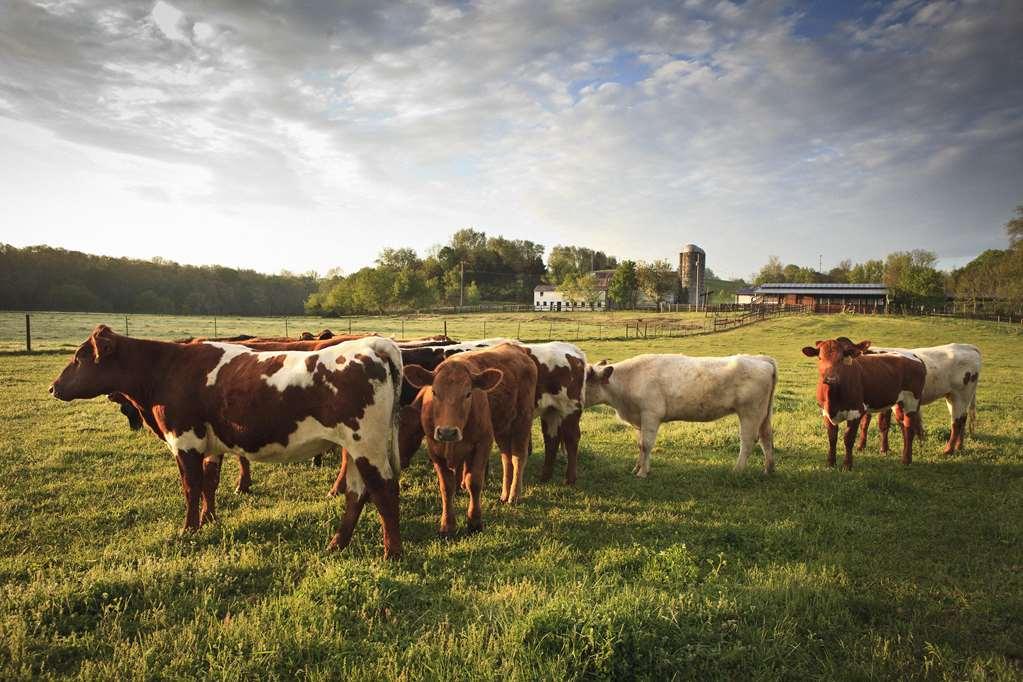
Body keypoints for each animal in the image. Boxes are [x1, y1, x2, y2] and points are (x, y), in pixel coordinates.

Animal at [51, 325, 403, 560]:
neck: (166, 369)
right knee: (356, 494)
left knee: (384, 490)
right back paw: (336, 545)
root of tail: (371, 344)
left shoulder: (185, 440)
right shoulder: (210, 443)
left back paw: (392, 553)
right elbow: (210, 482)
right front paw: (210, 519)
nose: (53, 387)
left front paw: (189, 529)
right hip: (354, 447)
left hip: (366, 445)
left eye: (79, 357)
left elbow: (191, 487)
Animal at [403, 343, 540, 535]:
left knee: (518, 458)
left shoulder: (483, 443)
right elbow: (446, 486)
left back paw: (514, 495)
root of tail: (517, 348)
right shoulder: (434, 450)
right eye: (435, 392)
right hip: (502, 427)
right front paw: (447, 525)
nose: (447, 432)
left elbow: (473, 482)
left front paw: (474, 522)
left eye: (468, 394)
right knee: (506, 458)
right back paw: (504, 494)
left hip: (522, 421)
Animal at [585, 355, 773, 478]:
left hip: (750, 412)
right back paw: (768, 470)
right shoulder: (639, 419)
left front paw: (642, 472)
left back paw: (737, 470)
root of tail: (761, 358)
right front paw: (638, 468)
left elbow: (646, 445)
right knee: (766, 438)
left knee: (748, 440)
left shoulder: (650, 414)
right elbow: (640, 445)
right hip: (764, 414)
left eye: (584, 380)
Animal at [797, 339, 928, 470]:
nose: (830, 379)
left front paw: (847, 465)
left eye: (841, 358)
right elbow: (832, 438)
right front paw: (830, 463)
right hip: (899, 403)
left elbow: (848, 439)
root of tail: (914, 357)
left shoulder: (855, 412)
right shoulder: (825, 412)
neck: (833, 396)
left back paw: (906, 460)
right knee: (904, 427)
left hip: (911, 402)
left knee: (909, 429)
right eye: (820, 358)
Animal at [847, 339, 982, 453]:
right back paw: (959, 446)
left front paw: (884, 449)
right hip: (955, 396)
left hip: (960, 394)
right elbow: (865, 423)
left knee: (956, 421)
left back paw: (948, 450)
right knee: (963, 418)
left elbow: (883, 424)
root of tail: (967, 346)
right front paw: (861, 446)